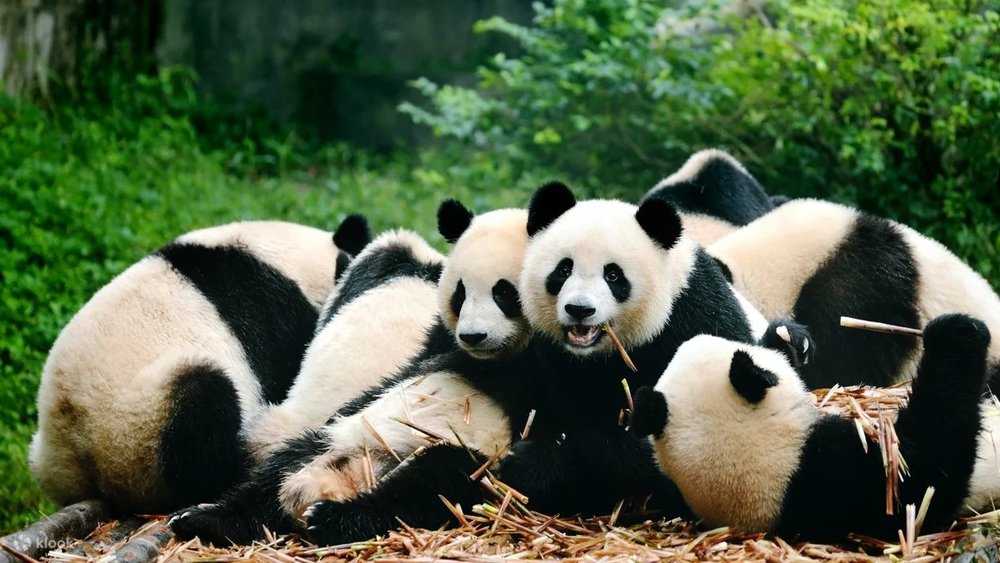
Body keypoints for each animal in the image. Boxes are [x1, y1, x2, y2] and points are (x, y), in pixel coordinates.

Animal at [169, 202, 536, 546]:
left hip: (468, 456)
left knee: (427, 487)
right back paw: (208, 519)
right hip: (337, 435)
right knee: (278, 471)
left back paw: (333, 518)